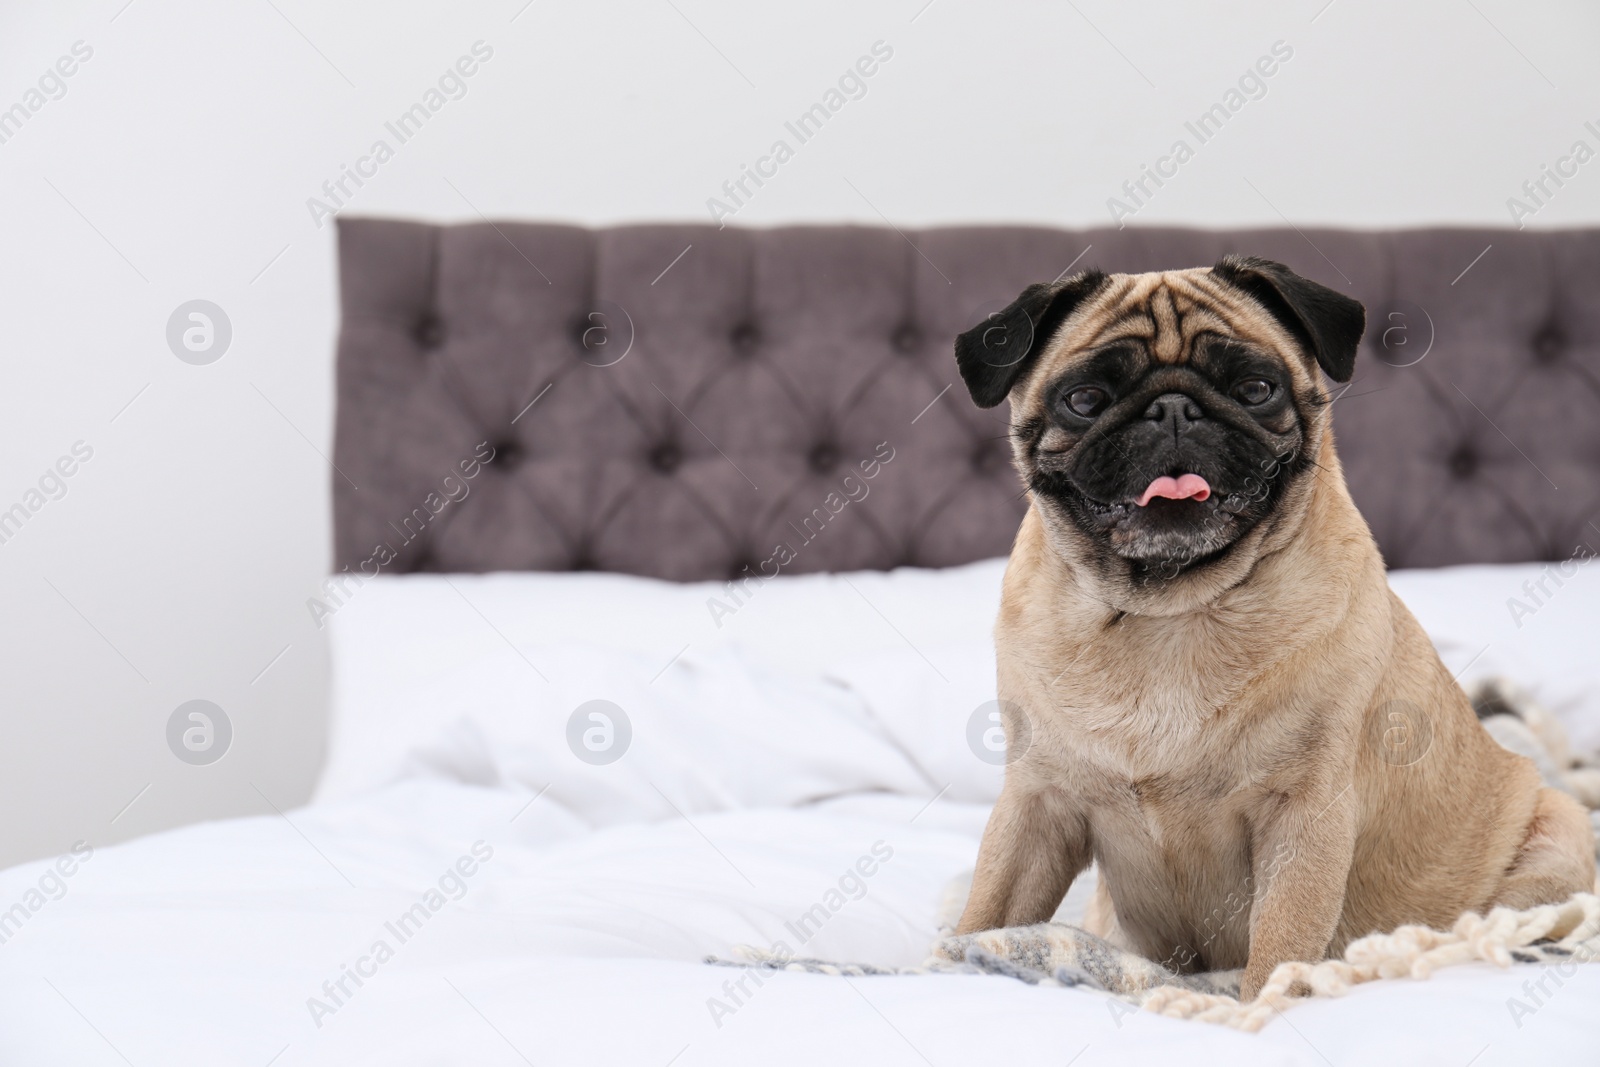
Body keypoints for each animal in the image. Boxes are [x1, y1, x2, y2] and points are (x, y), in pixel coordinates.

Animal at [947, 255, 1587, 1004]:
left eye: (1255, 389)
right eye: (1085, 398)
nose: (1173, 409)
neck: (1172, 608)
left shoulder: (1302, 813)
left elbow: (1281, 942)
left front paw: (1264, 1005)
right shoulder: (1037, 802)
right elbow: (989, 909)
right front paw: (946, 967)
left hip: (1556, 835)